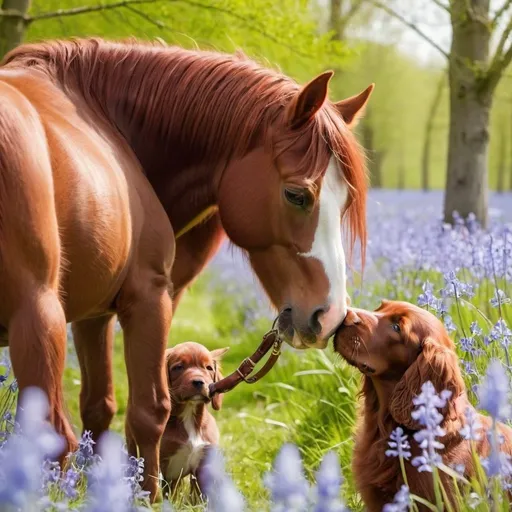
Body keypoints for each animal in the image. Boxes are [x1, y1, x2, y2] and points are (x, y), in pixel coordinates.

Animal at [160, 342, 228, 502]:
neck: (189, 415)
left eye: (208, 368)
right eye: (178, 367)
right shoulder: (162, 461)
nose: (198, 382)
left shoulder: (205, 463)